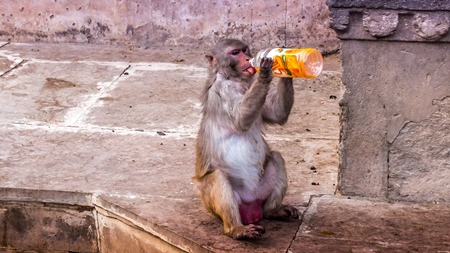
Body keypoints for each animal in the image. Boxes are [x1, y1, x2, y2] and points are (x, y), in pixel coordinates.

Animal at [193, 38, 298, 239]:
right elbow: (241, 121)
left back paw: (273, 211)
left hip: (260, 193)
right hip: (215, 202)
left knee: (276, 157)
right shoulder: (222, 90)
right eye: (235, 53)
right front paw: (265, 71)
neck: (234, 79)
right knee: (217, 177)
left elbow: (278, 114)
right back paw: (236, 229)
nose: (248, 59)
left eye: (244, 50)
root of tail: (251, 210)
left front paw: (286, 65)